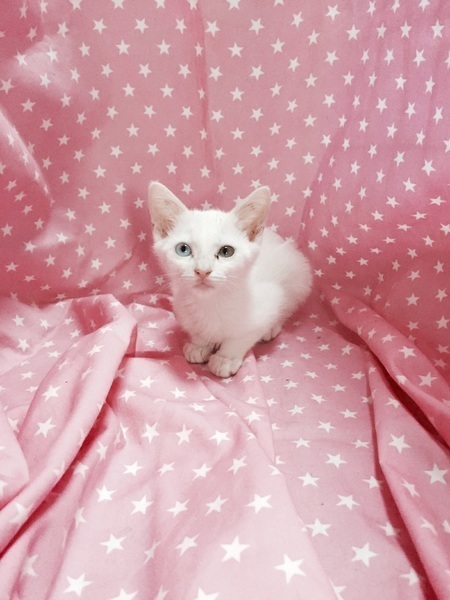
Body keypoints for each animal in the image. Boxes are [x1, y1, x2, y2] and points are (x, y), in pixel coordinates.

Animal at [148, 182, 312, 378]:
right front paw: (199, 345)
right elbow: (198, 331)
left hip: (298, 275)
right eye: (183, 249)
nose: (202, 271)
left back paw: (272, 328)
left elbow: (243, 336)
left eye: (226, 251)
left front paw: (225, 358)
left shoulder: (270, 300)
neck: (211, 304)